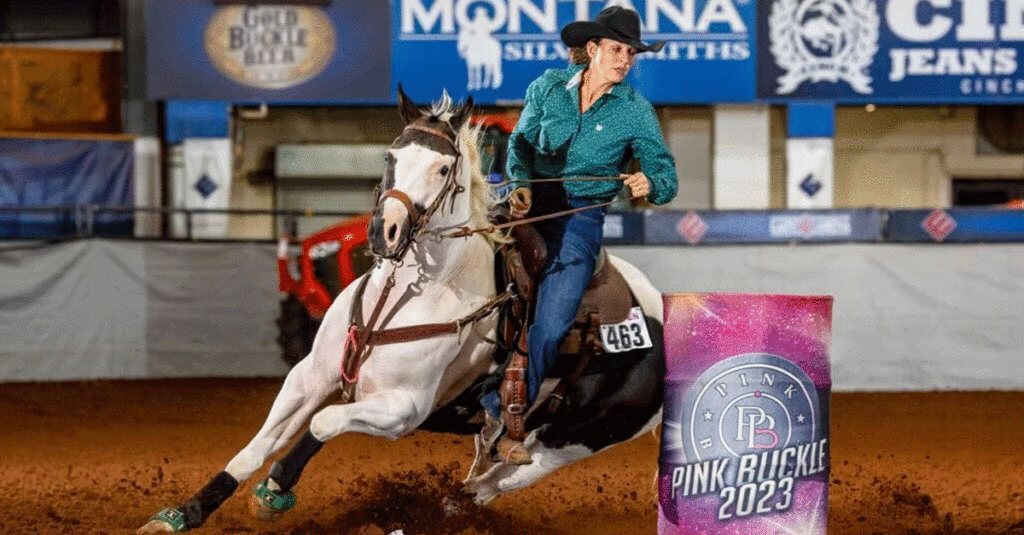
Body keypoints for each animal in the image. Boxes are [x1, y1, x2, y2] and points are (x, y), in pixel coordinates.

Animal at [138, 86, 663, 528]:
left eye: (443, 168)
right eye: (390, 154)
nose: (384, 231)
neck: (411, 294)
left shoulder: (403, 409)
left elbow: (323, 422)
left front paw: (275, 491)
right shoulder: (310, 375)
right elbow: (254, 448)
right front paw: (182, 515)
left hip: (575, 438)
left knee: (488, 487)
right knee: (480, 475)